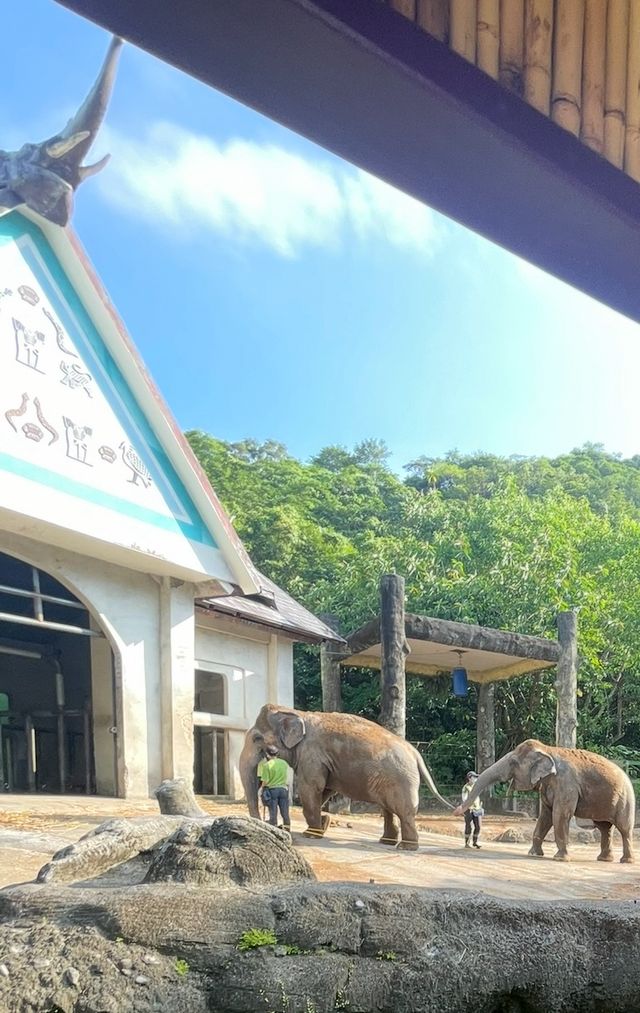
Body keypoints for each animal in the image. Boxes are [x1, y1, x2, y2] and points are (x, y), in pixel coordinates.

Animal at [240, 704, 453, 850]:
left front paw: (311, 835)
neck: (298, 713)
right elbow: (324, 789)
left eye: (256, 738)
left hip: (401, 780)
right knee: (388, 809)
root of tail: (415, 752)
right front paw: (322, 824)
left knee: (403, 811)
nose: (261, 822)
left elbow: (312, 787)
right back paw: (386, 841)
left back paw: (405, 847)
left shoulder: (312, 754)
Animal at [453, 738, 635, 863]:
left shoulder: (566, 783)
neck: (548, 749)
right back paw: (604, 859)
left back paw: (625, 861)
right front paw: (533, 854)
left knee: (624, 828)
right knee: (604, 827)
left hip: (626, 800)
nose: (456, 810)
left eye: (513, 762)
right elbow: (545, 816)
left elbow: (560, 815)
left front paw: (560, 859)